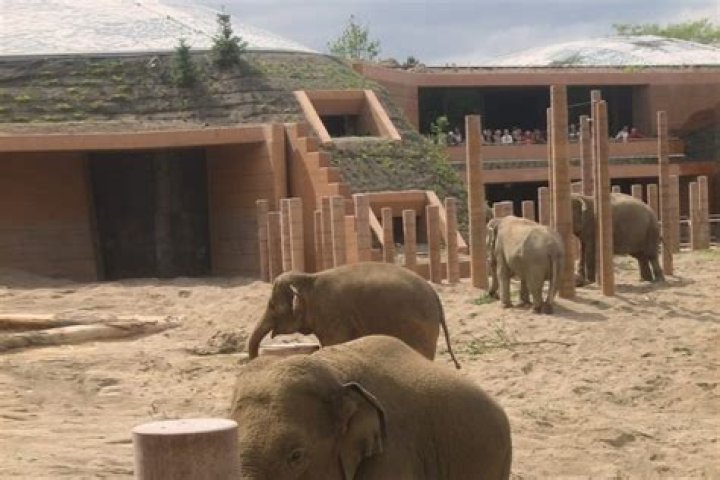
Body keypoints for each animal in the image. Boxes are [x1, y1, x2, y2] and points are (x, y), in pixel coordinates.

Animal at [247, 261, 460, 369]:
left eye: (272, 306)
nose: (254, 360)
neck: (309, 277)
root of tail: (435, 295)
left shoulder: (332, 314)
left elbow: (332, 345)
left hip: (419, 328)